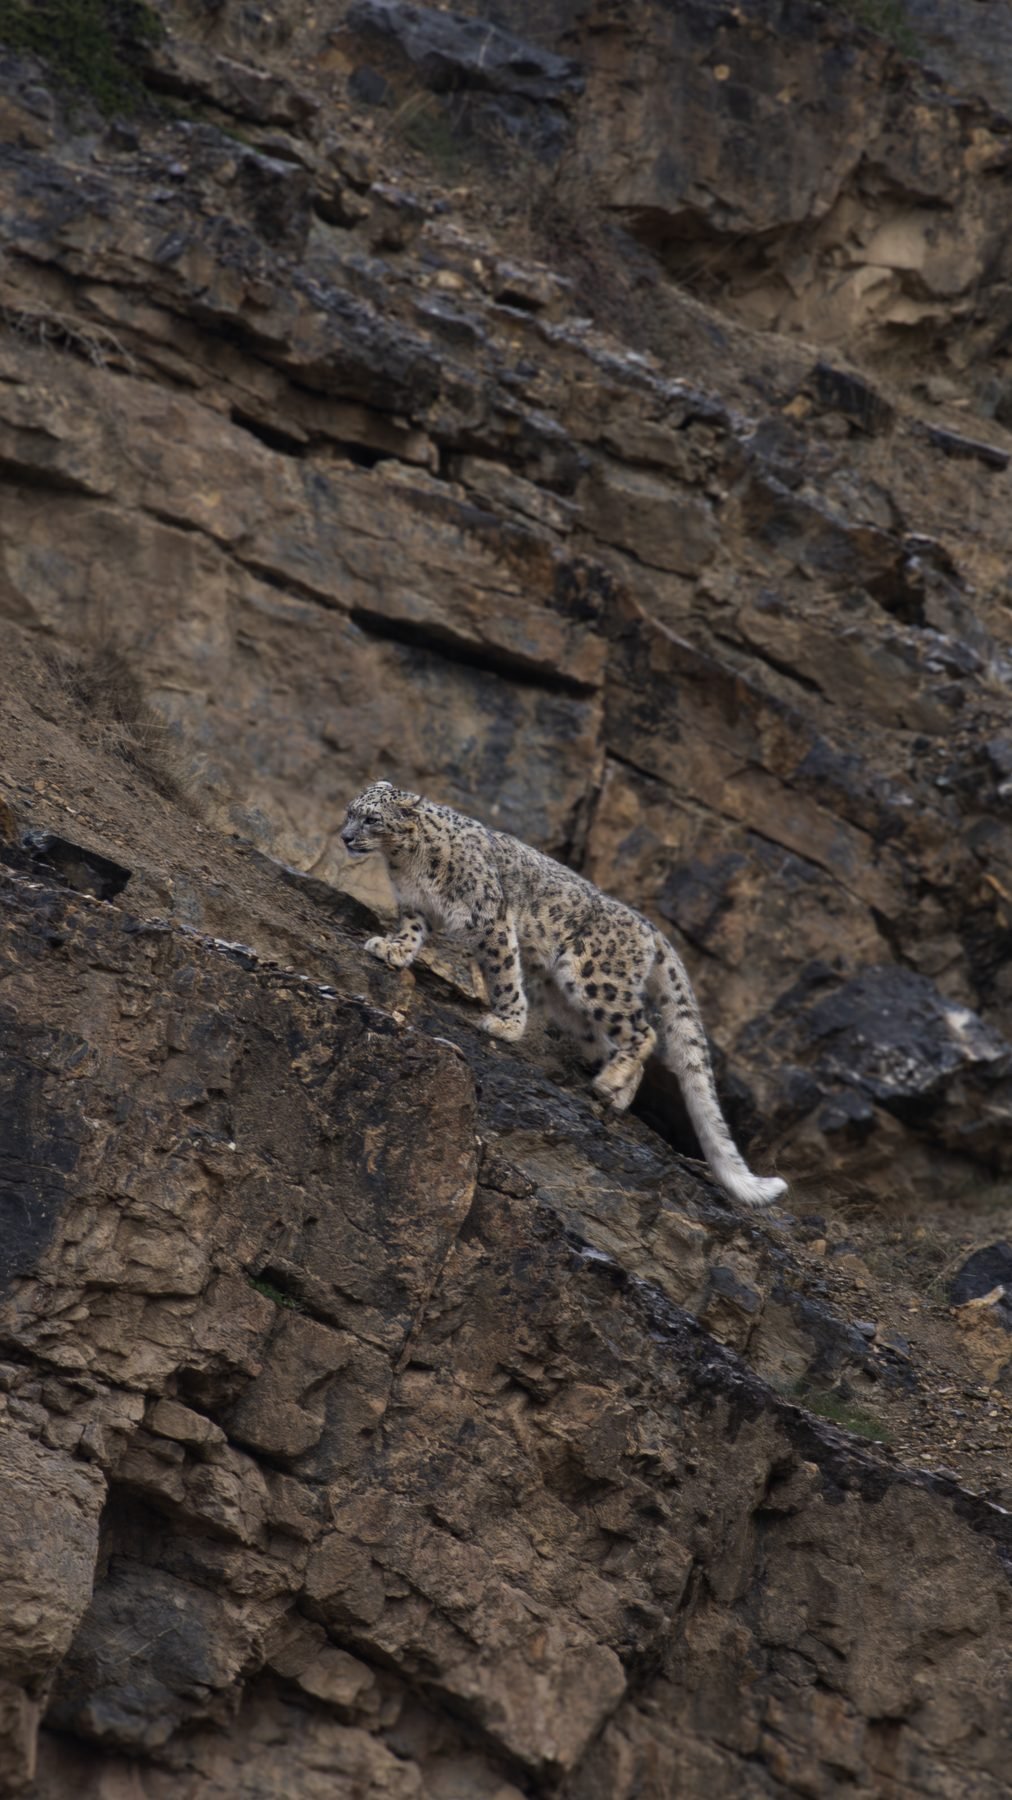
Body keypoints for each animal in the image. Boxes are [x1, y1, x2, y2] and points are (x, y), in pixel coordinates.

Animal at [340, 781, 786, 1208]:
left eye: (371, 819)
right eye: (349, 811)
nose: (344, 836)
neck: (405, 864)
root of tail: (650, 928)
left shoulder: (490, 920)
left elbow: (504, 973)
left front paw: (506, 1024)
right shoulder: (413, 906)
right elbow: (410, 932)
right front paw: (392, 949)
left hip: (594, 979)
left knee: (645, 1031)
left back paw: (609, 1083)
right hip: (567, 1003)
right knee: (613, 1038)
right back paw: (616, 1094)